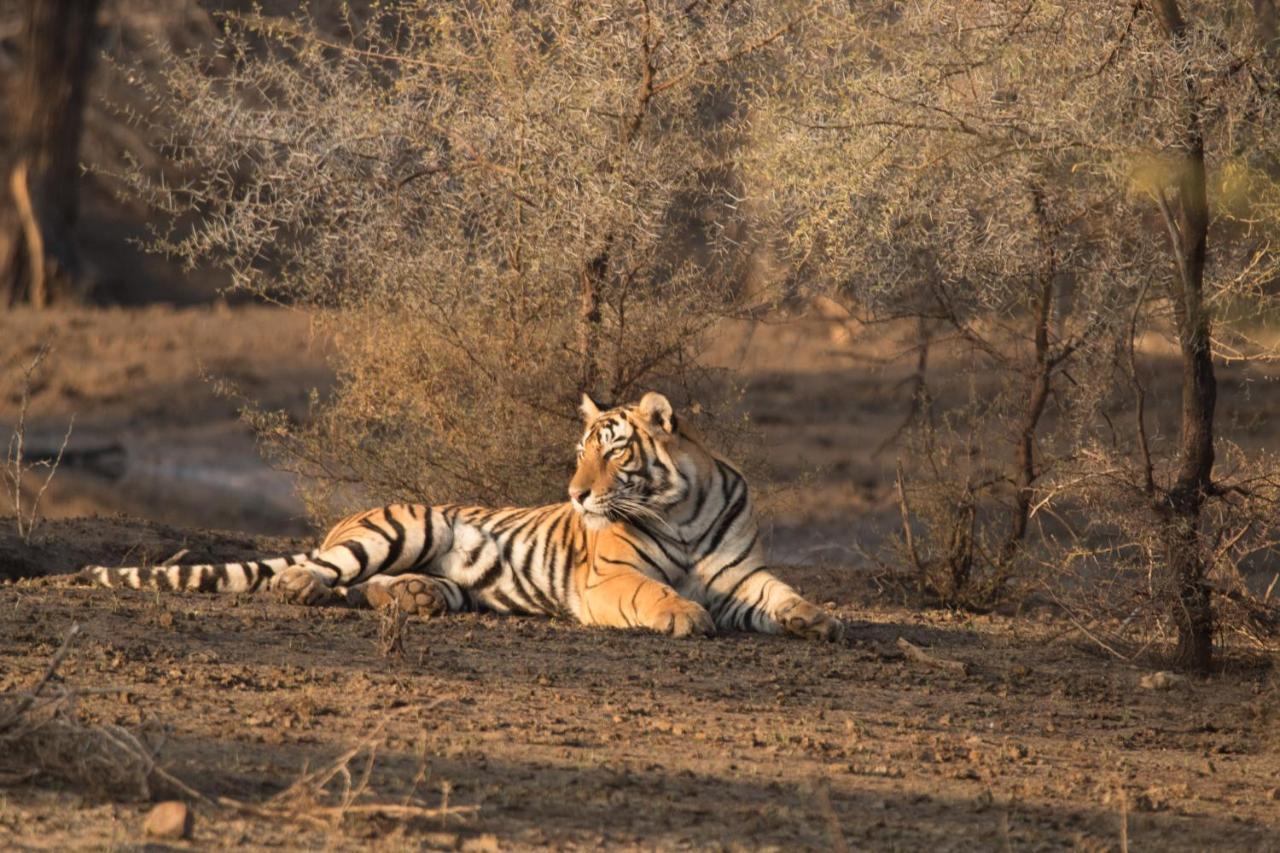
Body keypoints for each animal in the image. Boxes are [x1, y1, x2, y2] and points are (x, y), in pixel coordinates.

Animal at [74, 391, 844, 637]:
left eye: (613, 452)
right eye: (581, 454)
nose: (576, 494)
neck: (681, 507)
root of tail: (342, 520)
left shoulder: (742, 578)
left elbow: (781, 594)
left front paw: (816, 618)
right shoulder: (608, 579)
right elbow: (653, 592)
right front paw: (684, 614)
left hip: (434, 565)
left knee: (377, 589)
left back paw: (413, 599)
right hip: (404, 525)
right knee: (321, 572)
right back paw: (305, 587)